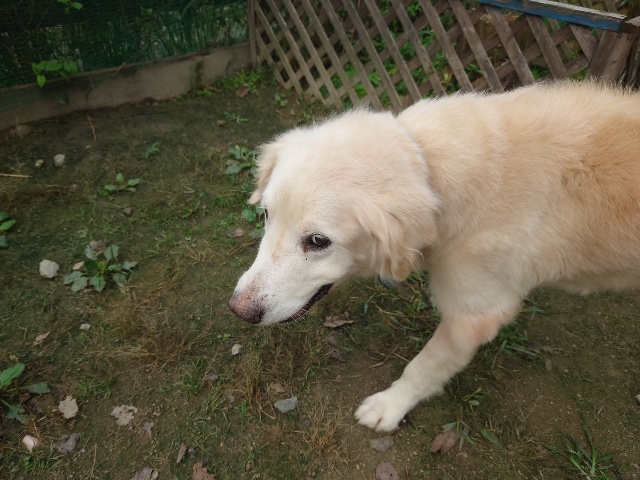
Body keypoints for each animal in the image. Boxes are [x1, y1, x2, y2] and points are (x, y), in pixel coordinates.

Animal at [229, 81, 640, 432]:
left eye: (317, 241)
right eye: (266, 215)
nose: (238, 310)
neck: (430, 166)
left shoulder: (473, 316)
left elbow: (423, 367)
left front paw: (389, 407)